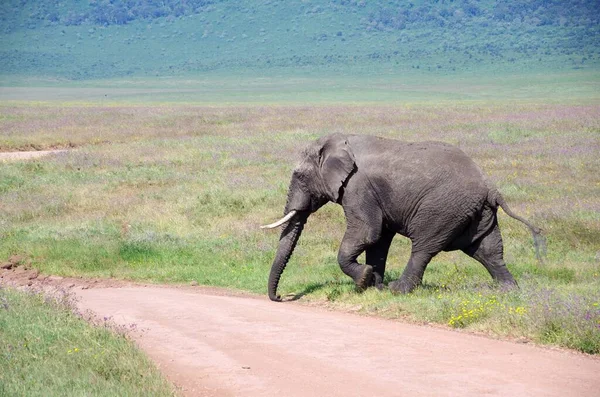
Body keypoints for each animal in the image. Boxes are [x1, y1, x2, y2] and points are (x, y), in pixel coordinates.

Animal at [262, 133, 544, 300]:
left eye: (299, 176)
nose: (280, 298)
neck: (339, 141)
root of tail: (491, 188)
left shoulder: (358, 187)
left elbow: (367, 233)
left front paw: (363, 281)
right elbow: (379, 241)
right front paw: (373, 286)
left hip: (442, 209)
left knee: (424, 248)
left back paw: (399, 290)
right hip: (477, 213)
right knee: (487, 250)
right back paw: (507, 291)